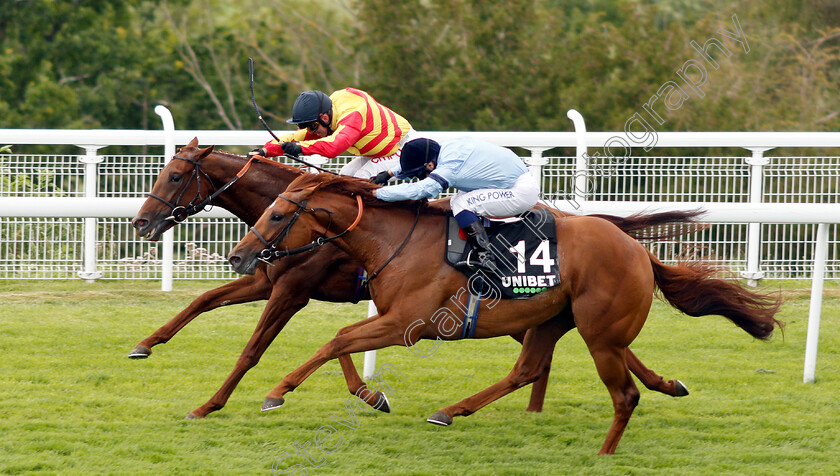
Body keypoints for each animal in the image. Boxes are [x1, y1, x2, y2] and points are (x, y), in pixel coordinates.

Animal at [130, 139, 696, 418]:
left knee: (599, 347)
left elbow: (258, 349)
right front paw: (145, 345)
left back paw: (658, 385)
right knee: (560, 349)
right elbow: (203, 301)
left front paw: (214, 403)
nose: (140, 222)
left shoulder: (292, 290)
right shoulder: (269, 281)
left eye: (175, 175)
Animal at [228, 174, 780, 454]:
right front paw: (371, 395)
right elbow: (342, 340)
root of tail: (638, 251)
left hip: (598, 332)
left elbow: (337, 339)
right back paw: (450, 411)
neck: (395, 240)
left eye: (278, 214)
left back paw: (604, 454)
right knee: (529, 369)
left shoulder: (406, 325)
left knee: (621, 393)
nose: (238, 256)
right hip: (556, 319)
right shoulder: (388, 319)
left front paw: (277, 392)